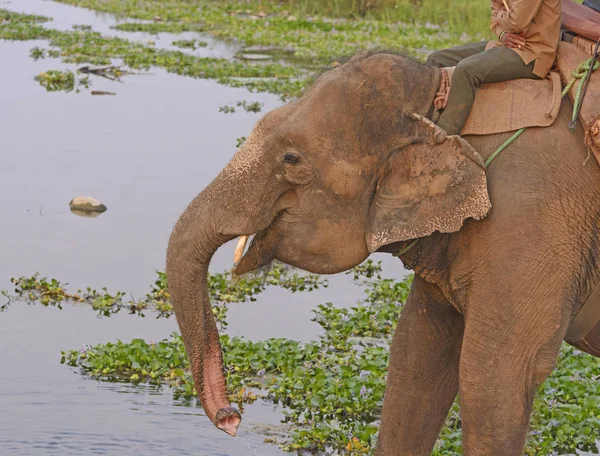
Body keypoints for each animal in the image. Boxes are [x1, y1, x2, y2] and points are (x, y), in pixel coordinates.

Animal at [166, 50, 600, 456]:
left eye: (291, 159)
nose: (231, 418)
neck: (436, 103)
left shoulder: (531, 222)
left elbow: (494, 376)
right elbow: (416, 354)